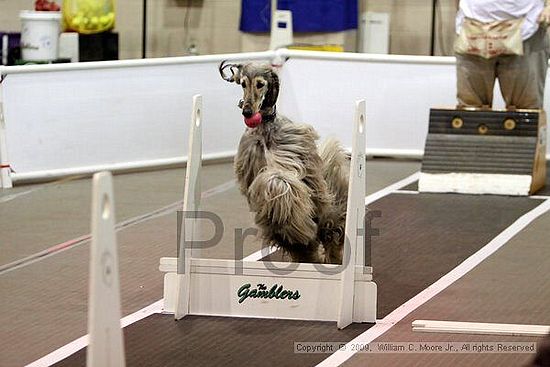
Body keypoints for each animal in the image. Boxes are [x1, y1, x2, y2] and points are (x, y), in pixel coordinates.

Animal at [220, 62, 350, 264]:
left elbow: (281, 180)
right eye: (243, 83)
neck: (265, 130)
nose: (247, 112)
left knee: (331, 230)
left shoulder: (293, 158)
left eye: (260, 84)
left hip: (329, 210)